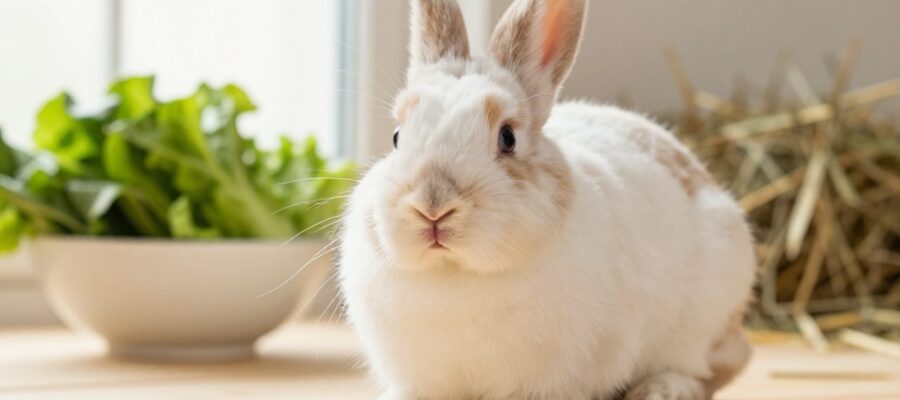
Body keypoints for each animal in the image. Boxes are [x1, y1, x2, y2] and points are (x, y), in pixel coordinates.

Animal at [338, 0, 756, 399]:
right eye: (396, 136)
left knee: (712, 370)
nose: (432, 206)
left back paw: (661, 390)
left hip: (704, 322)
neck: (456, 273)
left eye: (507, 137)